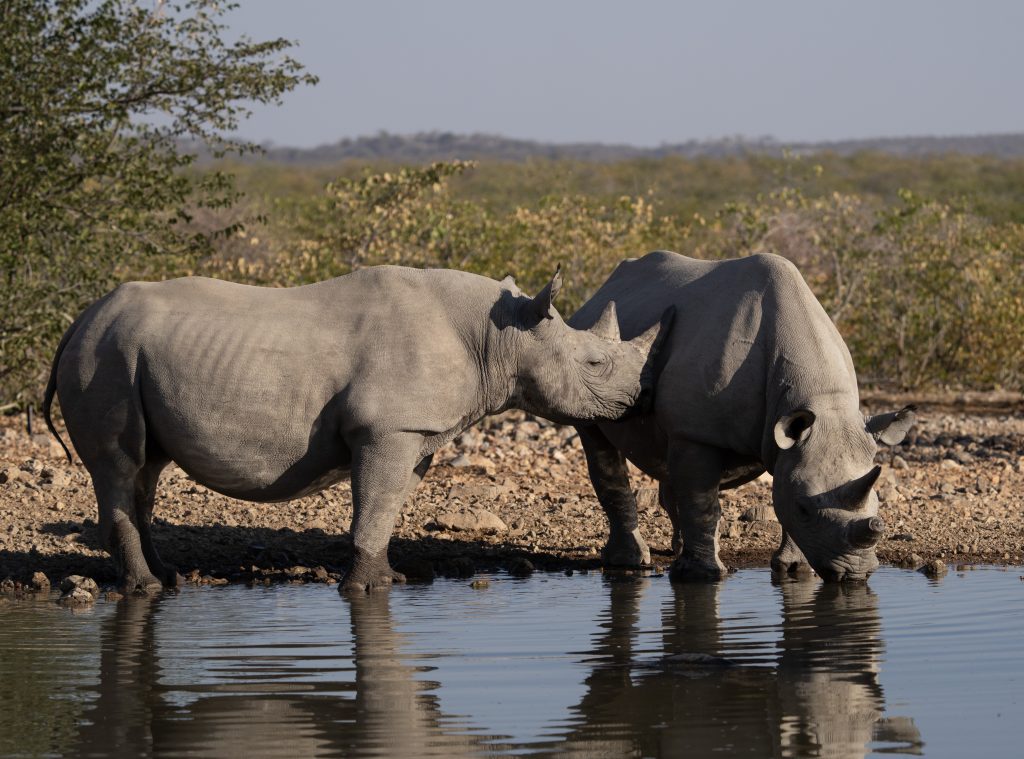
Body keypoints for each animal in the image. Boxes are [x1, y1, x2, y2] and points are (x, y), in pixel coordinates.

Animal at [43, 265, 671, 593]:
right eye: (595, 364)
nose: (637, 399)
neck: (500, 336)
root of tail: (79, 319)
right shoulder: (386, 428)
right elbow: (373, 504)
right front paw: (370, 588)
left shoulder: (414, 432)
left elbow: (386, 505)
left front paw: (388, 576)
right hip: (106, 356)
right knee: (120, 465)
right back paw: (145, 588)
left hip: (123, 354)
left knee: (146, 468)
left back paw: (167, 577)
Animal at [569, 251, 915, 582]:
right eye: (805, 509)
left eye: (878, 502)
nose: (855, 573)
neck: (821, 398)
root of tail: (599, 294)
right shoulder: (697, 433)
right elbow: (703, 503)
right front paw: (702, 576)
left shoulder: (789, 437)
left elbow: (783, 487)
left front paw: (794, 569)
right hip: (593, 372)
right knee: (599, 442)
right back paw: (629, 562)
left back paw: (678, 549)